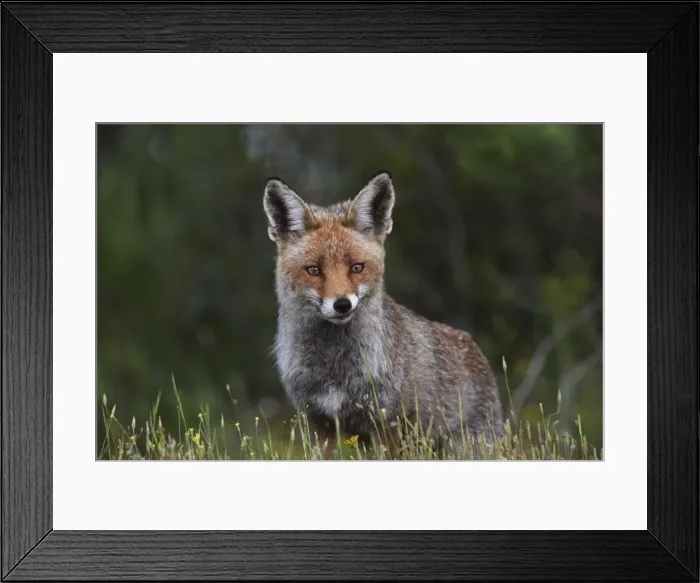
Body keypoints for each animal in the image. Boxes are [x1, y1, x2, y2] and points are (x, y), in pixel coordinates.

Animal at [263, 171, 505, 459]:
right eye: (313, 270)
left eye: (357, 267)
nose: (342, 305)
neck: (334, 367)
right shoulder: (318, 422)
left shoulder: (386, 422)